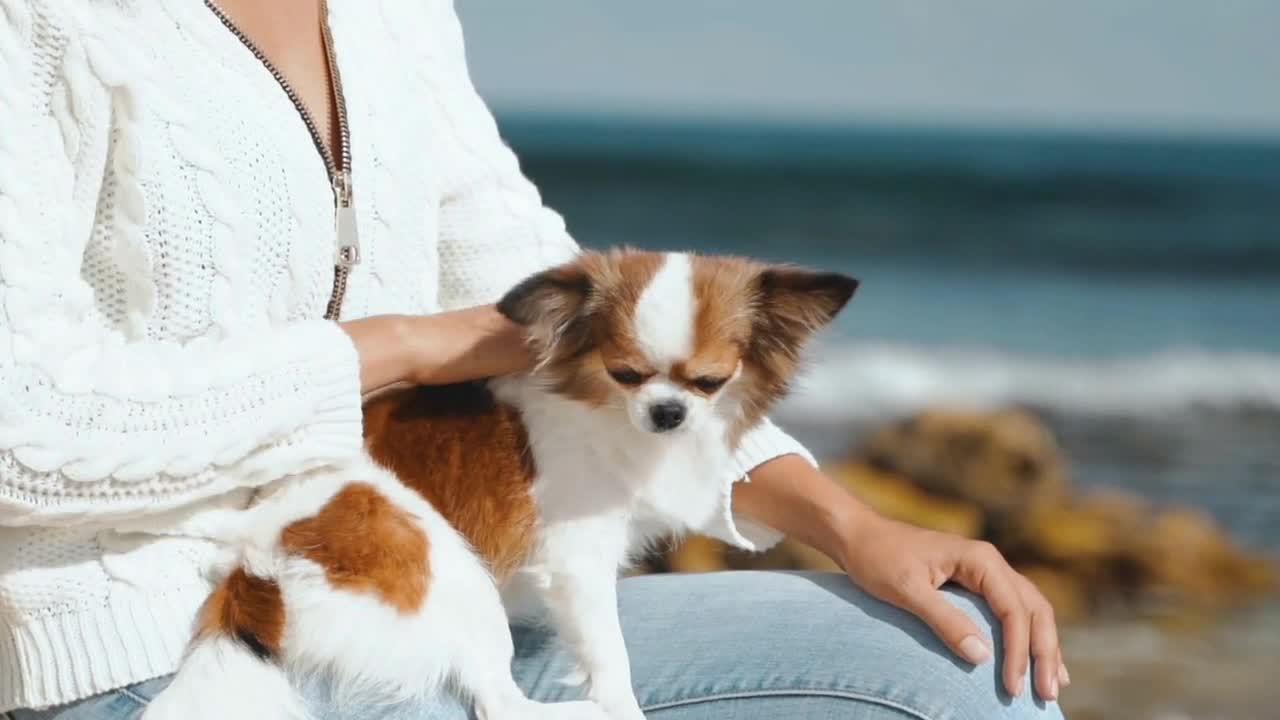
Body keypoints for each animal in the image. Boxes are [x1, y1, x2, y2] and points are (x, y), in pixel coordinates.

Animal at [142, 248, 860, 717]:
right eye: (626, 373)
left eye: (710, 382)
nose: (668, 413)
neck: (603, 410)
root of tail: (257, 575)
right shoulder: (577, 560)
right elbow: (609, 656)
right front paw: (619, 703)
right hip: (461, 581)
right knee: (501, 705)